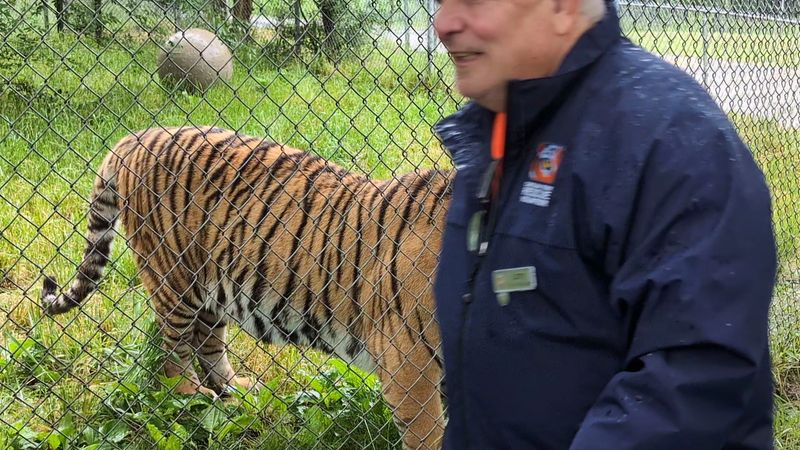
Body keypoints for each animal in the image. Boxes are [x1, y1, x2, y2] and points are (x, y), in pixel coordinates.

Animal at [40, 126, 452, 450]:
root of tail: (138, 136)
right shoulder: (408, 359)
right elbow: (428, 433)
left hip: (213, 286)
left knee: (207, 342)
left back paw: (235, 390)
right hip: (175, 281)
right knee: (174, 354)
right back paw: (193, 399)